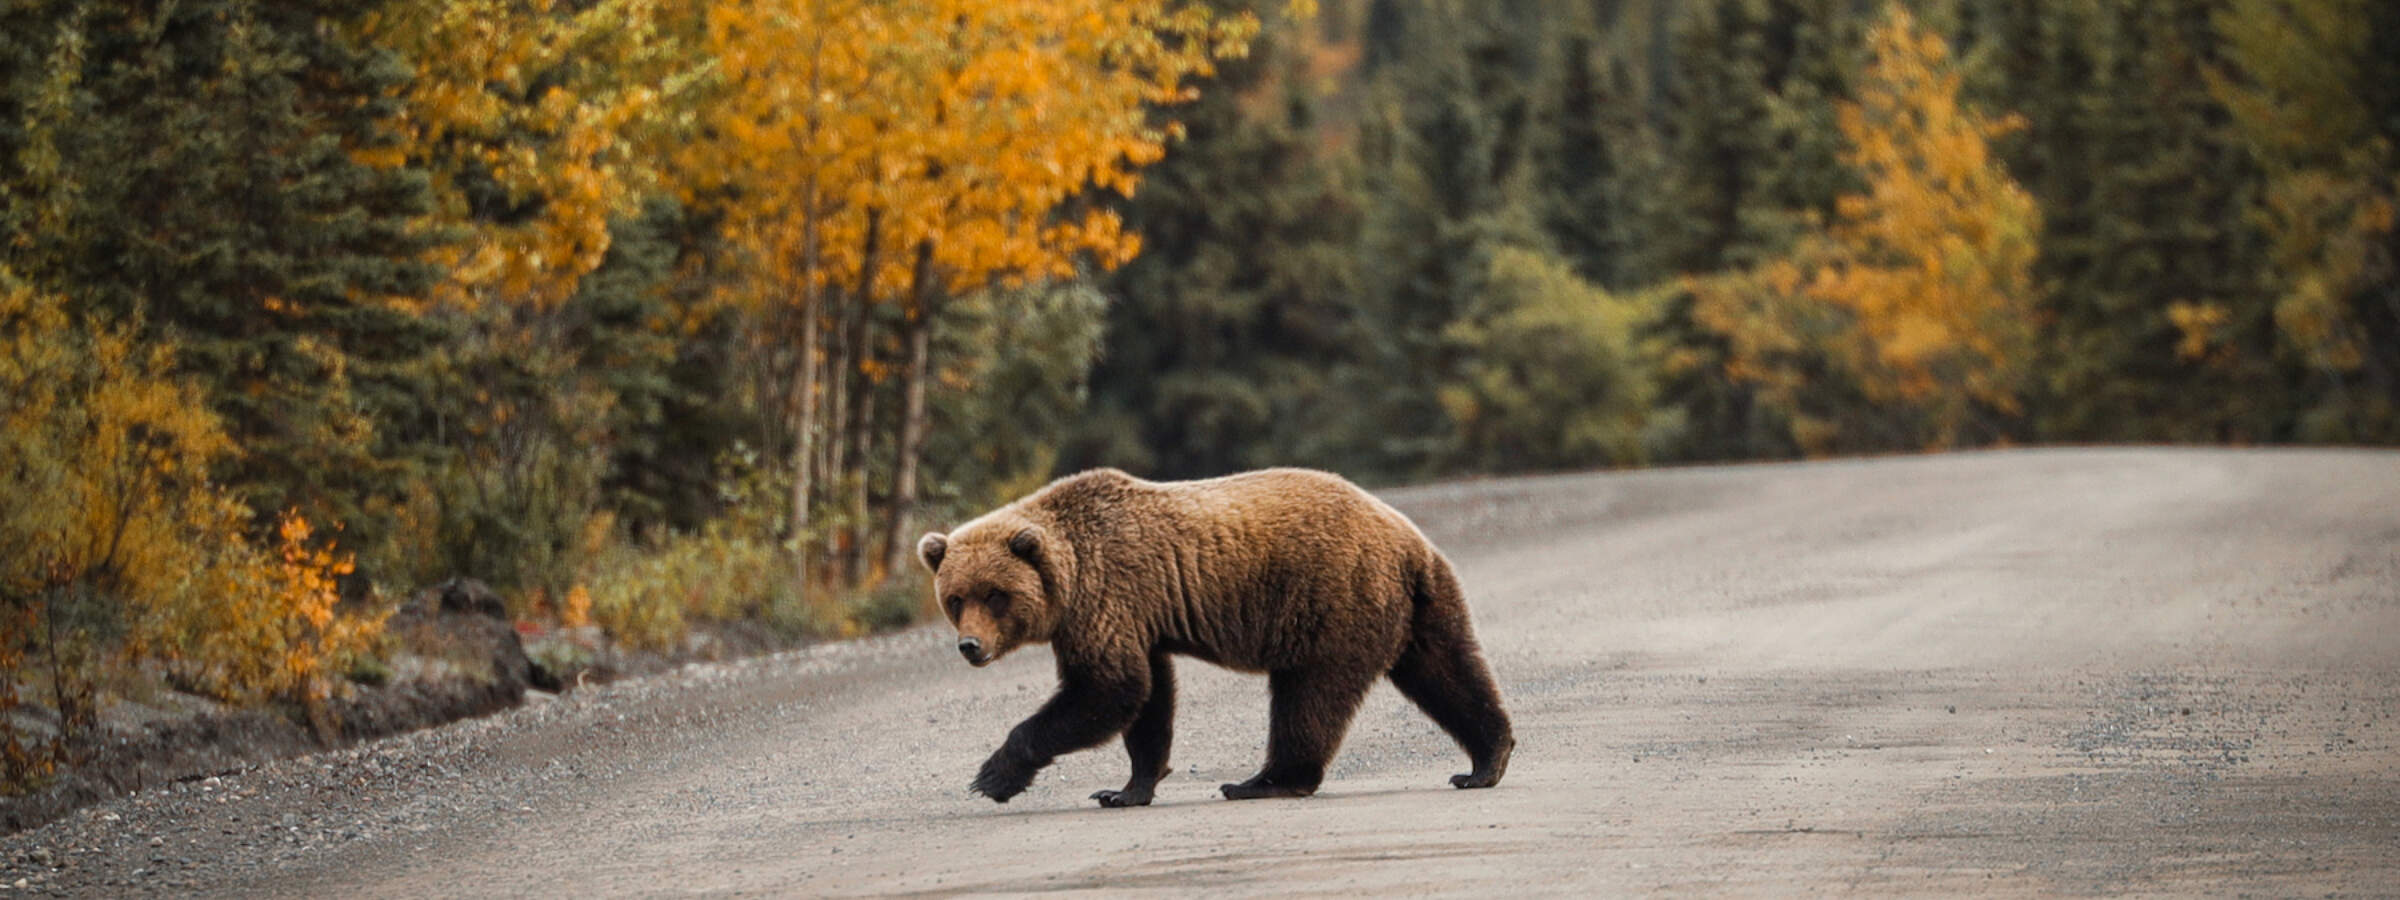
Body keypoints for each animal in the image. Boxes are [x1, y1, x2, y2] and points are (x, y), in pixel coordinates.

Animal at [916, 467, 1514, 807]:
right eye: (955, 598)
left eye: (995, 594)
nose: (971, 646)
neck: (1070, 575)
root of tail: (1407, 541)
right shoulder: (1138, 617)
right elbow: (1147, 698)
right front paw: (1126, 788)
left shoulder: (1108, 597)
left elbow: (1108, 689)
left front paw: (993, 776)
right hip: (1420, 606)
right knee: (1448, 670)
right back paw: (1486, 761)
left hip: (1333, 600)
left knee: (1309, 697)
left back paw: (1262, 781)